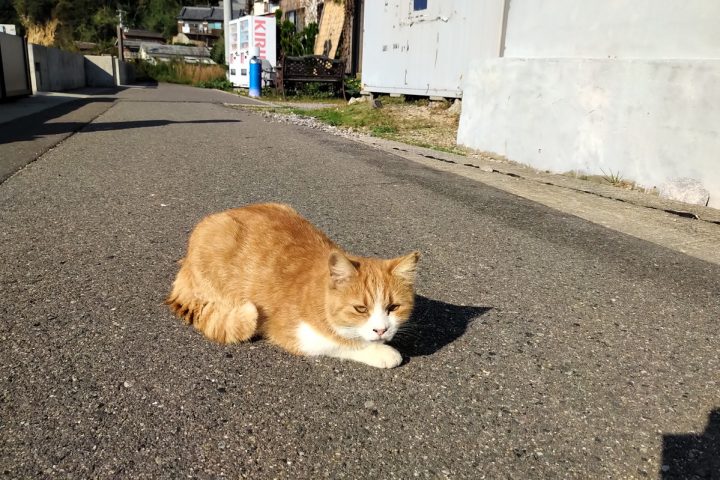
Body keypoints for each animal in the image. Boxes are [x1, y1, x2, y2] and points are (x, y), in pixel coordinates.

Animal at [167, 202, 420, 368]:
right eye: (361, 309)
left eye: (393, 308)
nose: (381, 330)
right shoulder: (294, 334)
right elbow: (344, 343)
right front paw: (382, 352)